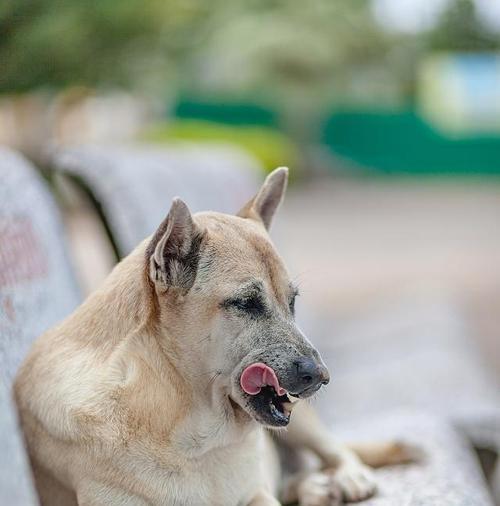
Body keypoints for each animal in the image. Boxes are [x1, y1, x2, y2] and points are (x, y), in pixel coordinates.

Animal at [15, 168, 414, 504]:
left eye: (292, 302)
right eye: (247, 303)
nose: (322, 376)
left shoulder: (257, 495)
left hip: (304, 425)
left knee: (335, 451)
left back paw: (346, 478)